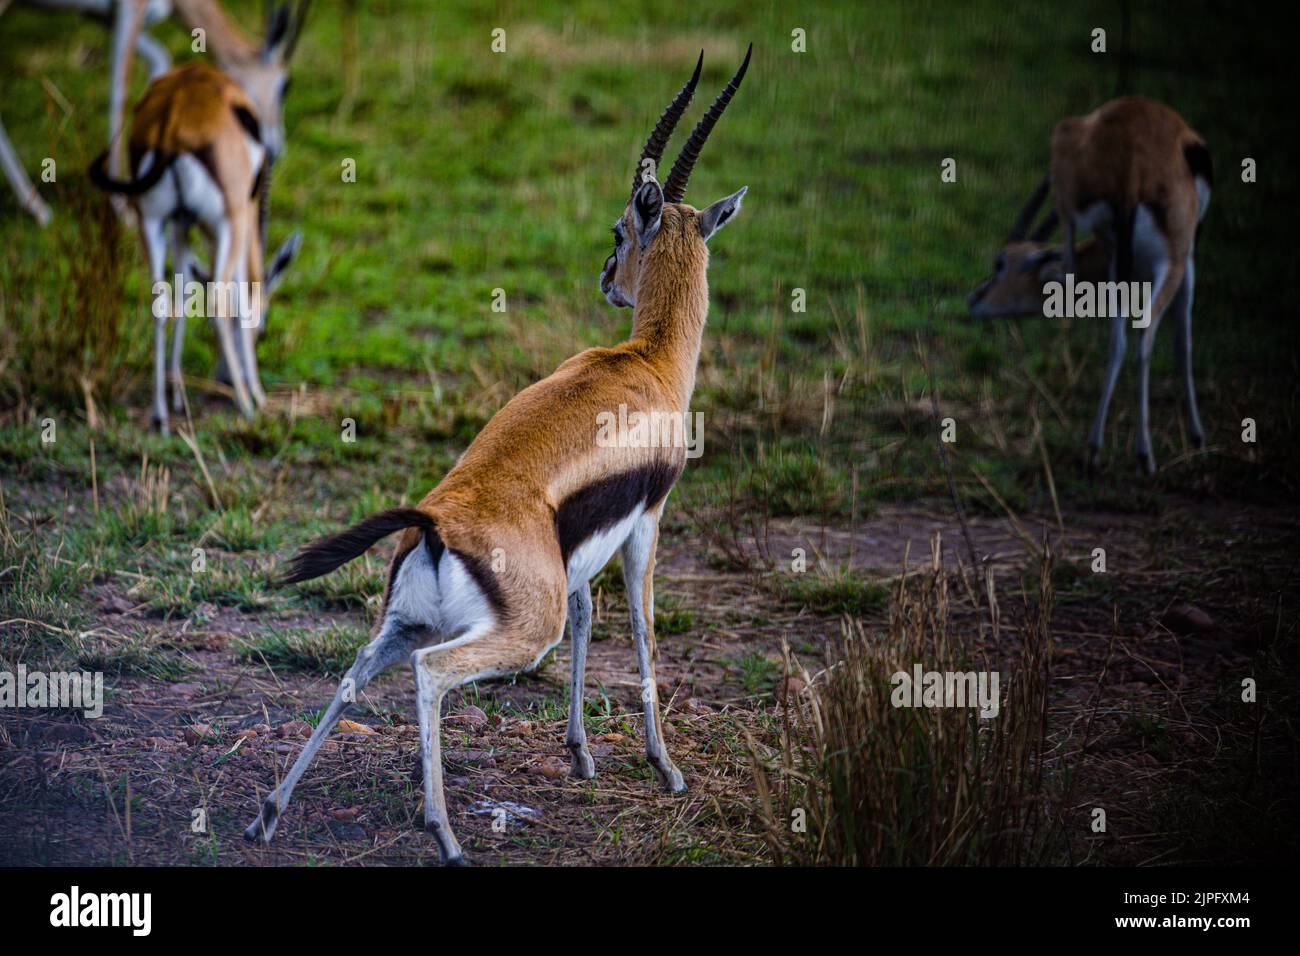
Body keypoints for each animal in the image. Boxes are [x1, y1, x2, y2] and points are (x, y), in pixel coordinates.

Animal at [242, 47, 753, 865]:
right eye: (621, 227)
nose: (606, 279)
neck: (648, 361)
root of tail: (434, 521)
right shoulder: (648, 519)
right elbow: (642, 628)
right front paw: (665, 768)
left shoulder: (579, 556)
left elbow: (588, 614)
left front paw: (581, 755)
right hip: (506, 638)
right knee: (430, 676)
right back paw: (444, 834)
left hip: (405, 622)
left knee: (356, 670)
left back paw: (269, 812)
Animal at [968, 97, 1212, 474]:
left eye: (1000, 263)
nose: (974, 299)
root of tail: (1133, 171)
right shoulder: (1185, 261)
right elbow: (1182, 341)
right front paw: (1198, 439)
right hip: (1168, 261)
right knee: (1143, 336)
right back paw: (1142, 454)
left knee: (1118, 339)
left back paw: (1096, 448)